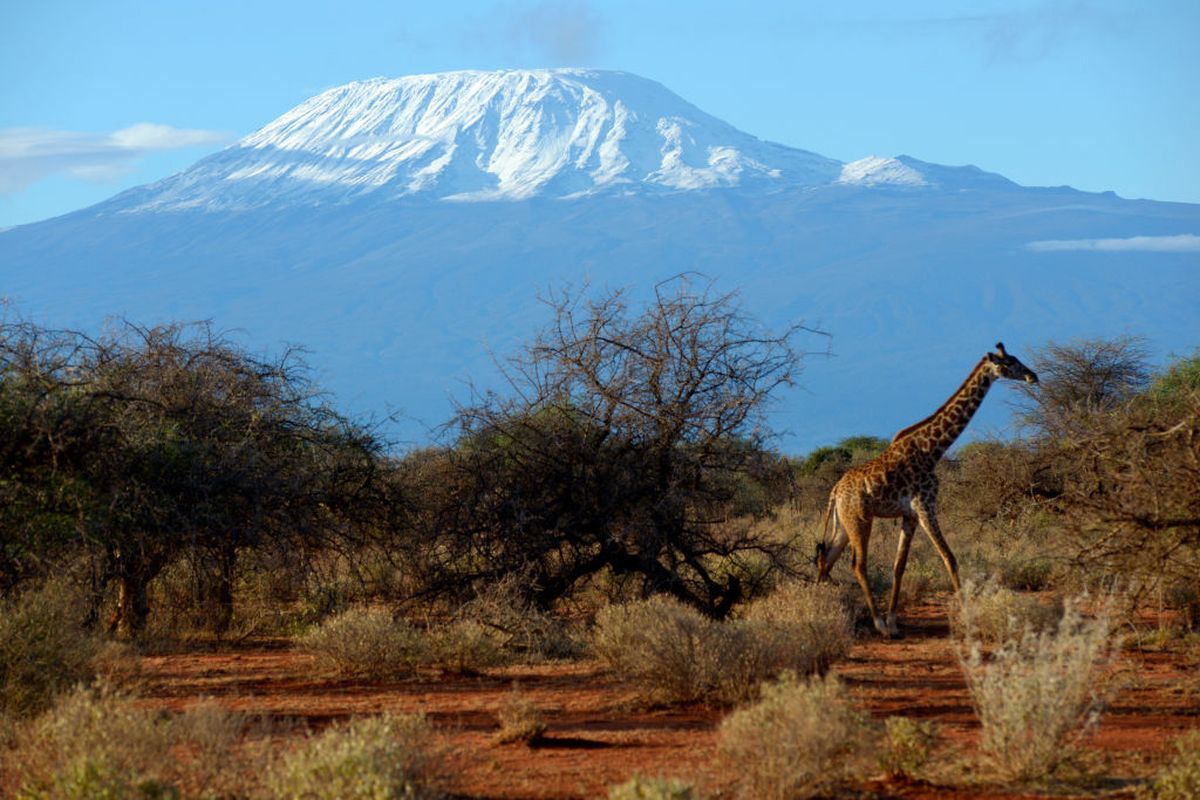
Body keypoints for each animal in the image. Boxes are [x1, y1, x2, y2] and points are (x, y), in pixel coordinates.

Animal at [820, 343, 1036, 638]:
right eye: (1011, 362)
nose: (1032, 376)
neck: (933, 450)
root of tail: (836, 490)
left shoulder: (910, 515)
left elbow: (899, 566)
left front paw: (894, 622)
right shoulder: (926, 506)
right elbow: (949, 558)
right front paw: (966, 616)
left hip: (844, 523)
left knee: (826, 560)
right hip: (860, 519)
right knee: (857, 565)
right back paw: (876, 624)